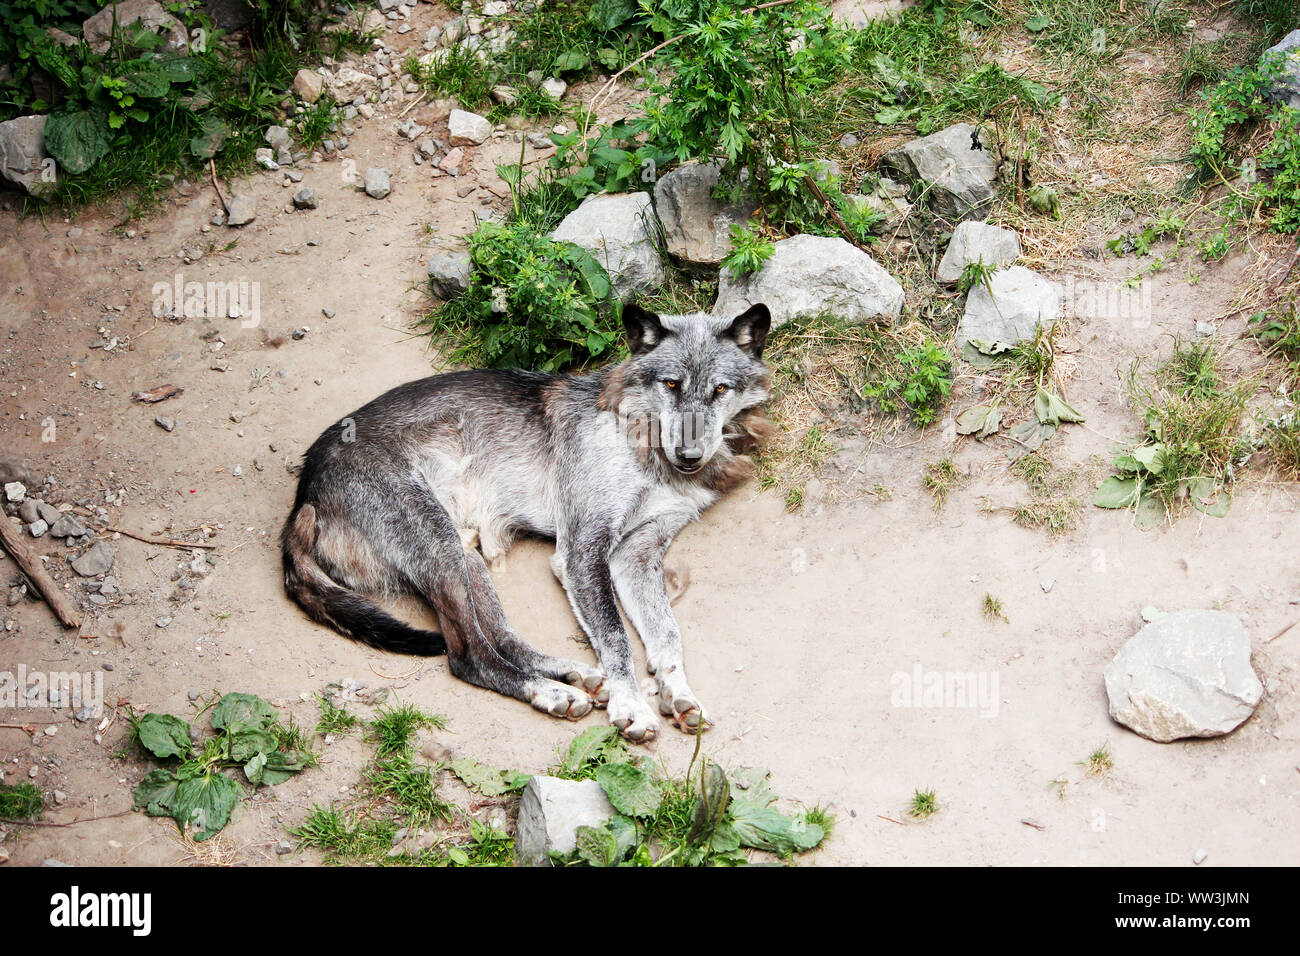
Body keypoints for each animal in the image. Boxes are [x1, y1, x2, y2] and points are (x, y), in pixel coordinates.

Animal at [282, 303, 769, 743]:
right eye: (670, 384)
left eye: (720, 389)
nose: (689, 456)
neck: (644, 445)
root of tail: (305, 491)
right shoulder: (582, 552)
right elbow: (616, 637)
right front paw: (631, 706)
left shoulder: (636, 554)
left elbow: (667, 633)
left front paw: (679, 693)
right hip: (438, 544)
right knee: (468, 656)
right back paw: (550, 692)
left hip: (463, 556)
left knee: (499, 635)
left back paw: (567, 675)